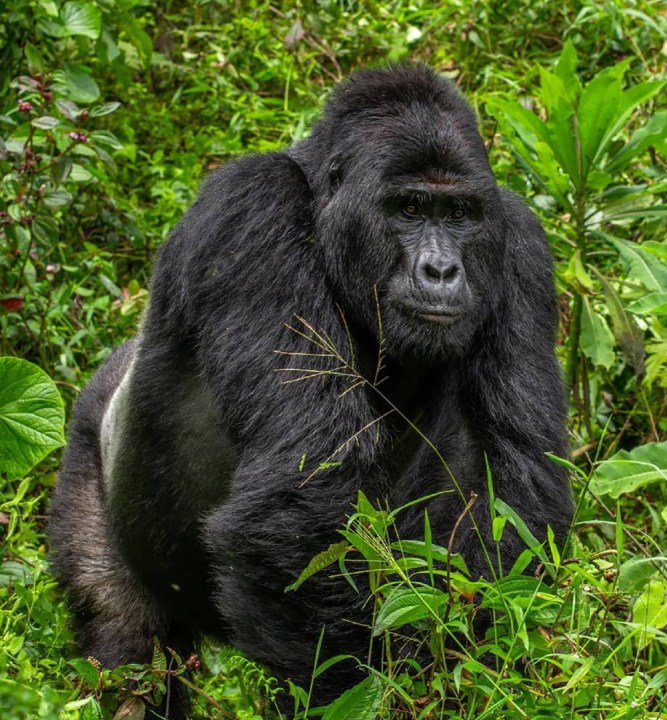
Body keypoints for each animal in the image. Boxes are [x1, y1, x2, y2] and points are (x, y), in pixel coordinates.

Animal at [51, 66, 576, 716]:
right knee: (124, 640)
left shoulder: (520, 243)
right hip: (83, 452)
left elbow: (516, 495)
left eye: (460, 214)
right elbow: (299, 506)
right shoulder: (253, 210)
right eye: (409, 207)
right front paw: (372, 690)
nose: (441, 271)